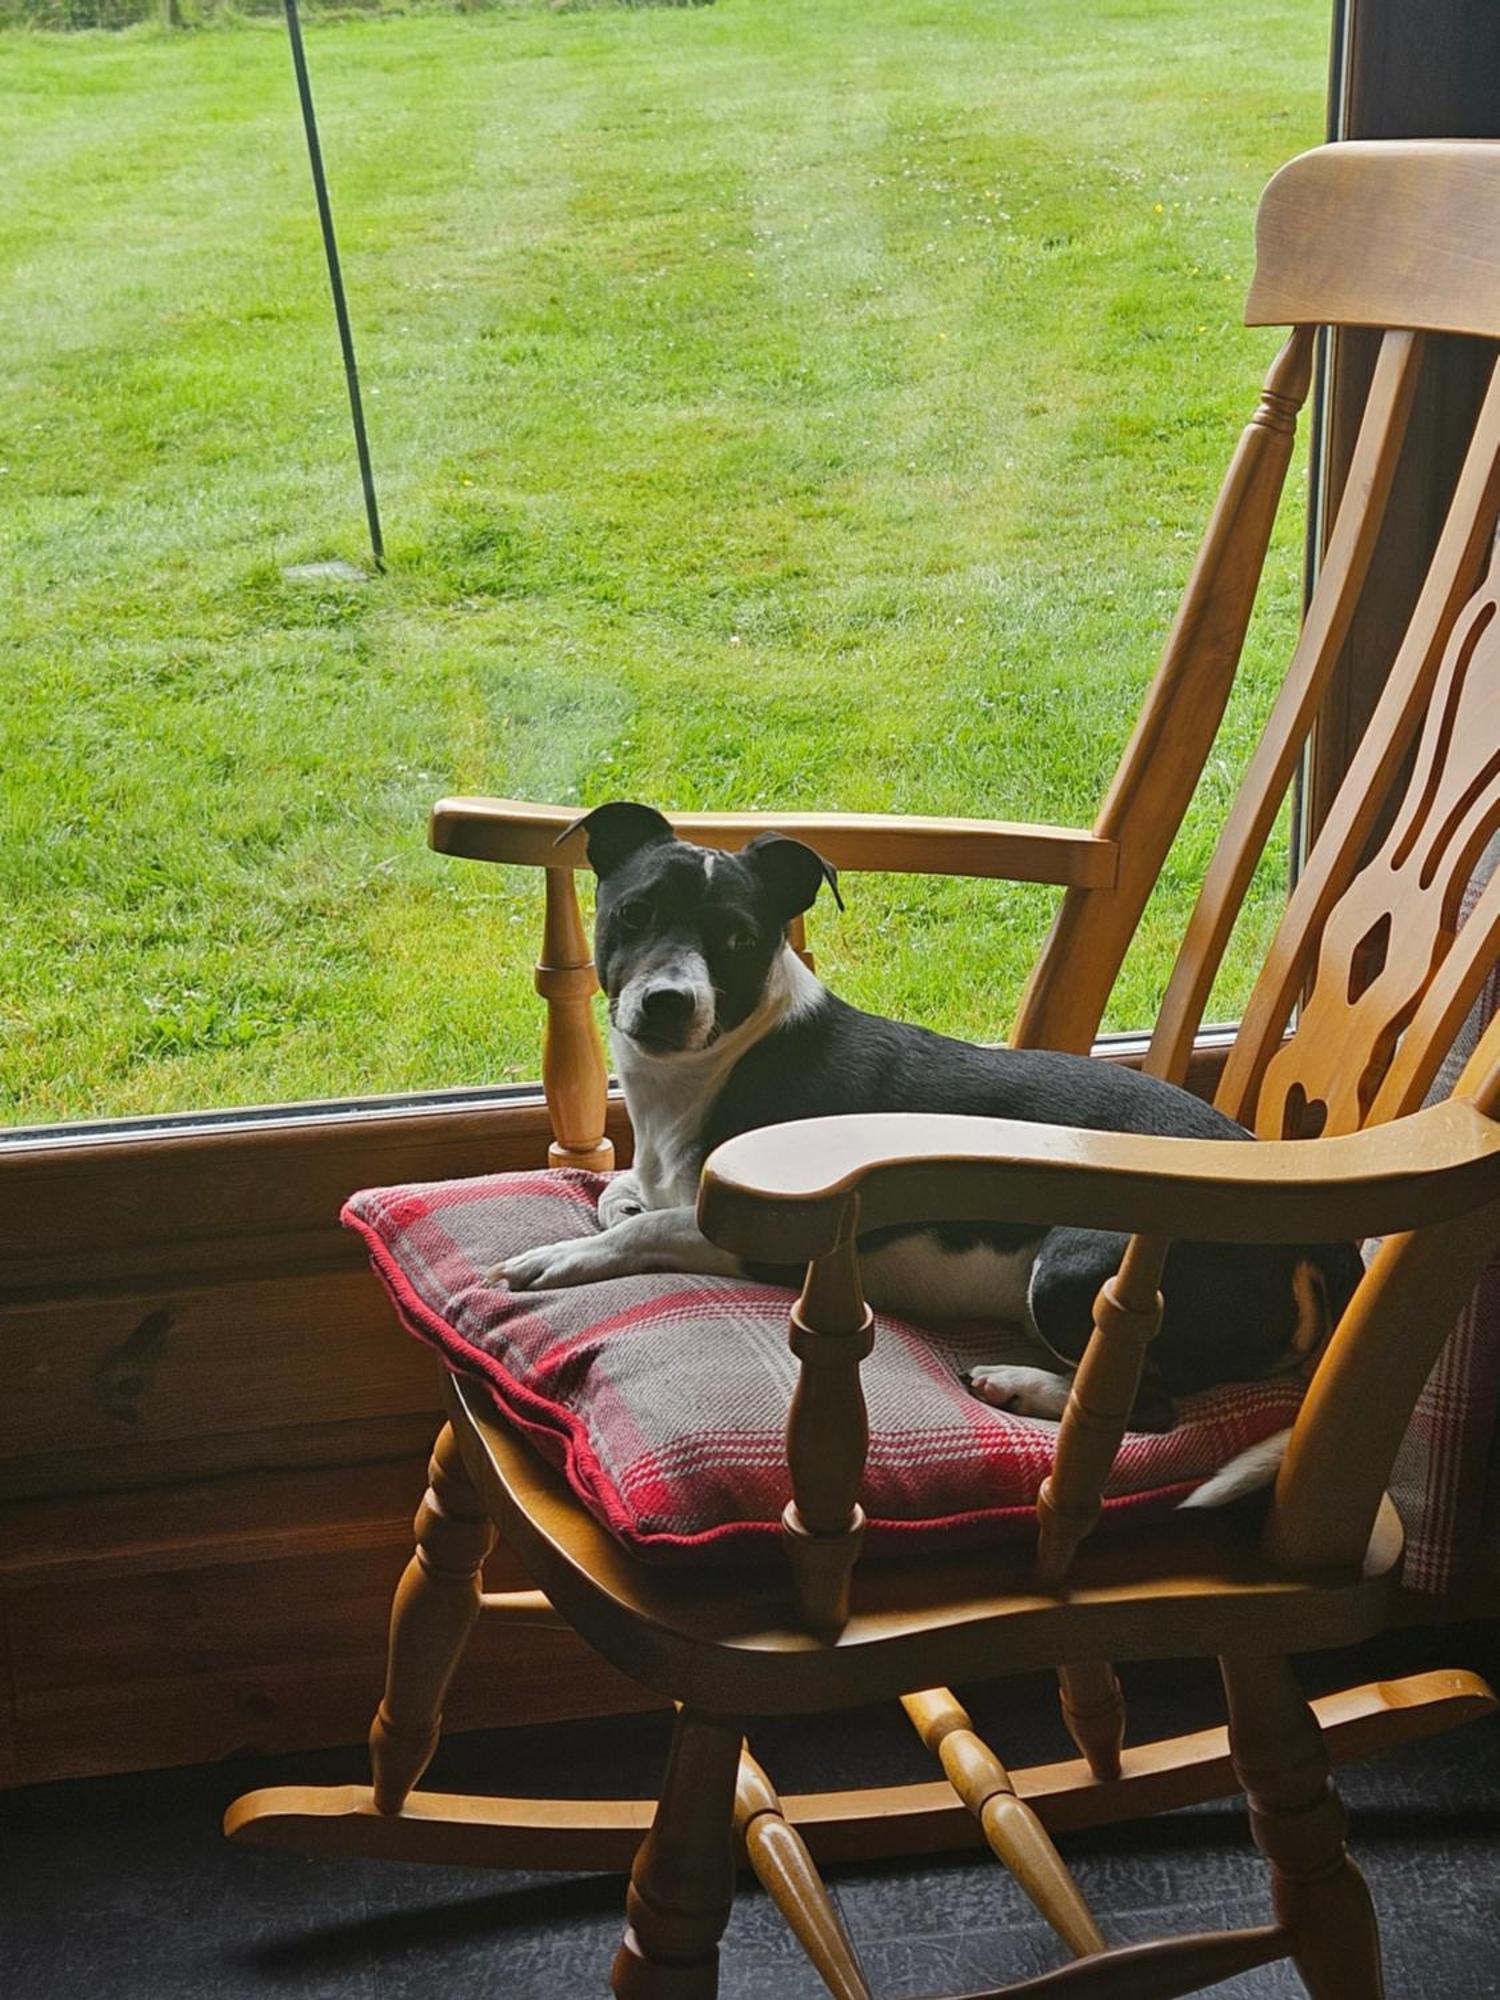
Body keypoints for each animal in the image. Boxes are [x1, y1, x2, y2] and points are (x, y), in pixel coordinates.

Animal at [494, 803, 1364, 1500]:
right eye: (635, 914)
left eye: (738, 939)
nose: (669, 1002)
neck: (723, 1061)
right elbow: (626, 1198)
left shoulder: (777, 1242)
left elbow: (642, 1227)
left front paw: (556, 1260)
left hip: (1078, 1268)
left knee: (1151, 1409)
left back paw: (1021, 1383)